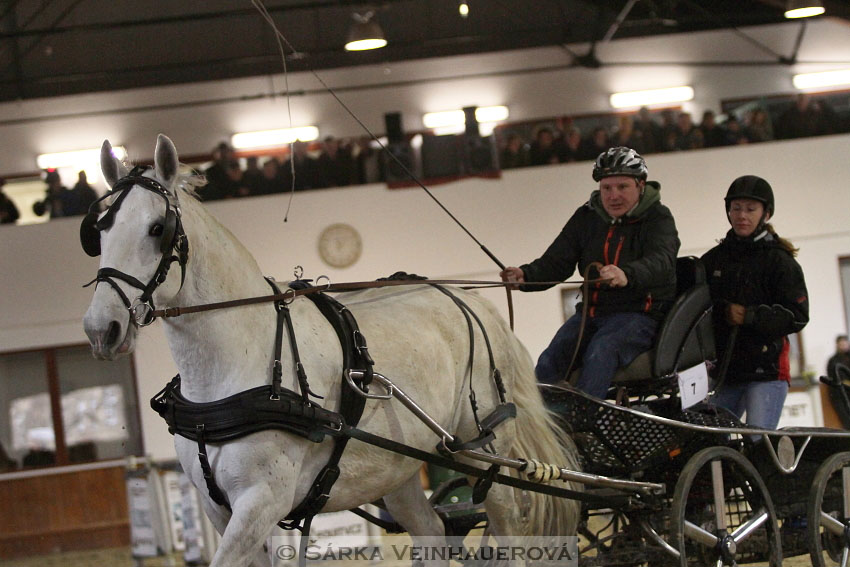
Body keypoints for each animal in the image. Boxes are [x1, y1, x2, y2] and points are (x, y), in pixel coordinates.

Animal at [83, 136, 580, 567]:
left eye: (157, 229)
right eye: (99, 230)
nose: (100, 328)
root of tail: (471, 300)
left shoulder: (262, 502)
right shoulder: (216, 507)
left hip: (485, 455)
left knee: (511, 531)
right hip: (399, 468)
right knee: (432, 531)